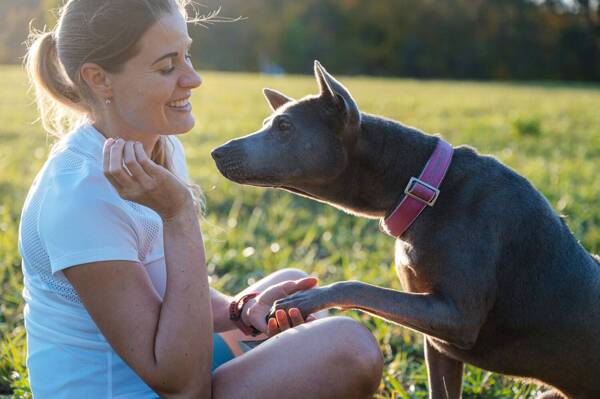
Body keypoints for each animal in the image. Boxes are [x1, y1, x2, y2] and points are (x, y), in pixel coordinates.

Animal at [212, 61, 600, 398]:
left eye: (284, 127)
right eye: (269, 123)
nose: (217, 152)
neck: (426, 190)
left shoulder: (457, 316)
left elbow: (360, 287)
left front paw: (307, 298)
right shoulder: (439, 340)